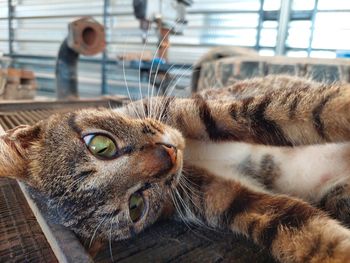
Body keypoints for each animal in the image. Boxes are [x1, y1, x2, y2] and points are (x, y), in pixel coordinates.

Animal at [1, 75, 350, 262]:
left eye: (100, 145)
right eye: (136, 206)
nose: (168, 154)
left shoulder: (198, 109)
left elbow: (303, 109)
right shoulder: (222, 196)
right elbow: (301, 229)